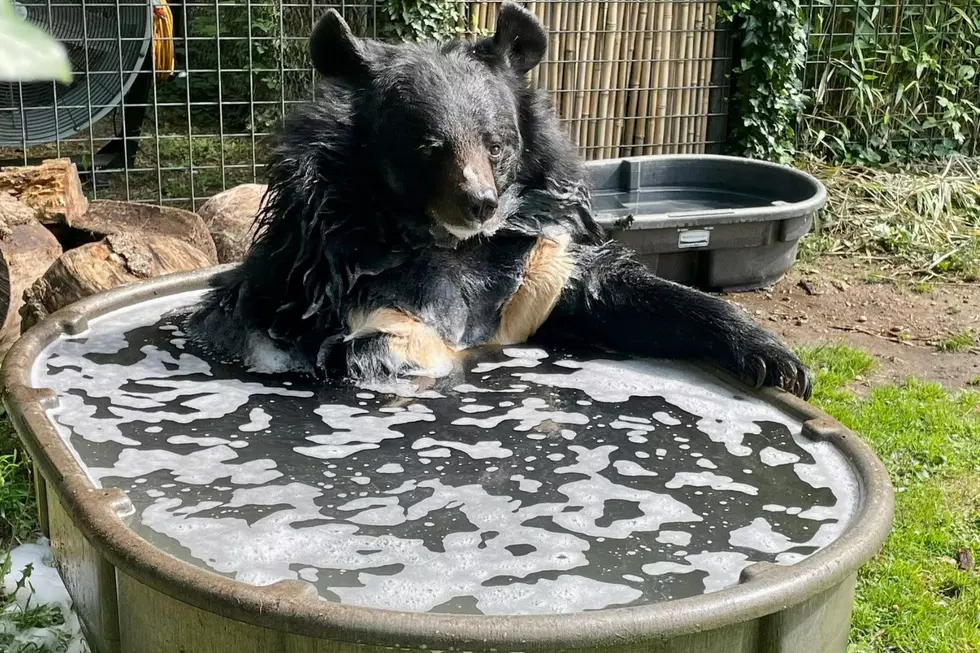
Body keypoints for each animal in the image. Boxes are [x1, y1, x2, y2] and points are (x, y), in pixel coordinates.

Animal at [185, 2, 812, 400]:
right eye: (427, 148)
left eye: (497, 145)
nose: (479, 203)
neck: (452, 245)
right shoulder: (333, 272)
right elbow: (369, 343)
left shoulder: (541, 265)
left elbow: (629, 295)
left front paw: (779, 363)